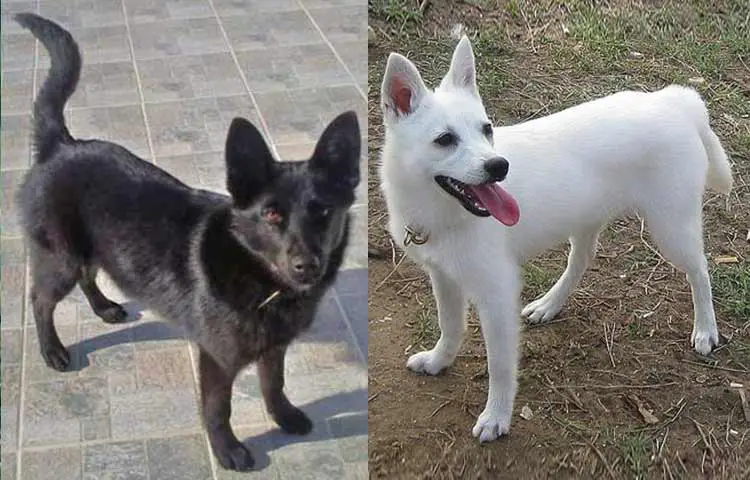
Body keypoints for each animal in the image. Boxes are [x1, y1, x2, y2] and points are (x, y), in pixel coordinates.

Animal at [13, 13, 362, 470]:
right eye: (271, 214)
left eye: (322, 212)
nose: (308, 265)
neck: (259, 280)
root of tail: (61, 144)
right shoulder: (216, 358)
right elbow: (218, 408)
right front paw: (227, 449)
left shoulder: (273, 348)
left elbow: (274, 383)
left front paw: (283, 416)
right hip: (61, 259)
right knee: (40, 299)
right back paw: (52, 349)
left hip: (90, 249)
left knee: (90, 275)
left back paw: (104, 307)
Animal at [378, 35, 732, 444]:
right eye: (445, 140)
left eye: (486, 129)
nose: (499, 167)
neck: (445, 210)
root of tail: (675, 101)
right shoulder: (445, 279)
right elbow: (449, 327)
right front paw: (439, 362)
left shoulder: (496, 295)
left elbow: (500, 366)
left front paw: (497, 417)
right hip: (589, 218)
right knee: (582, 260)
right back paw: (549, 304)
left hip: (671, 228)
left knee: (700, 270)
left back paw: (706, 329)